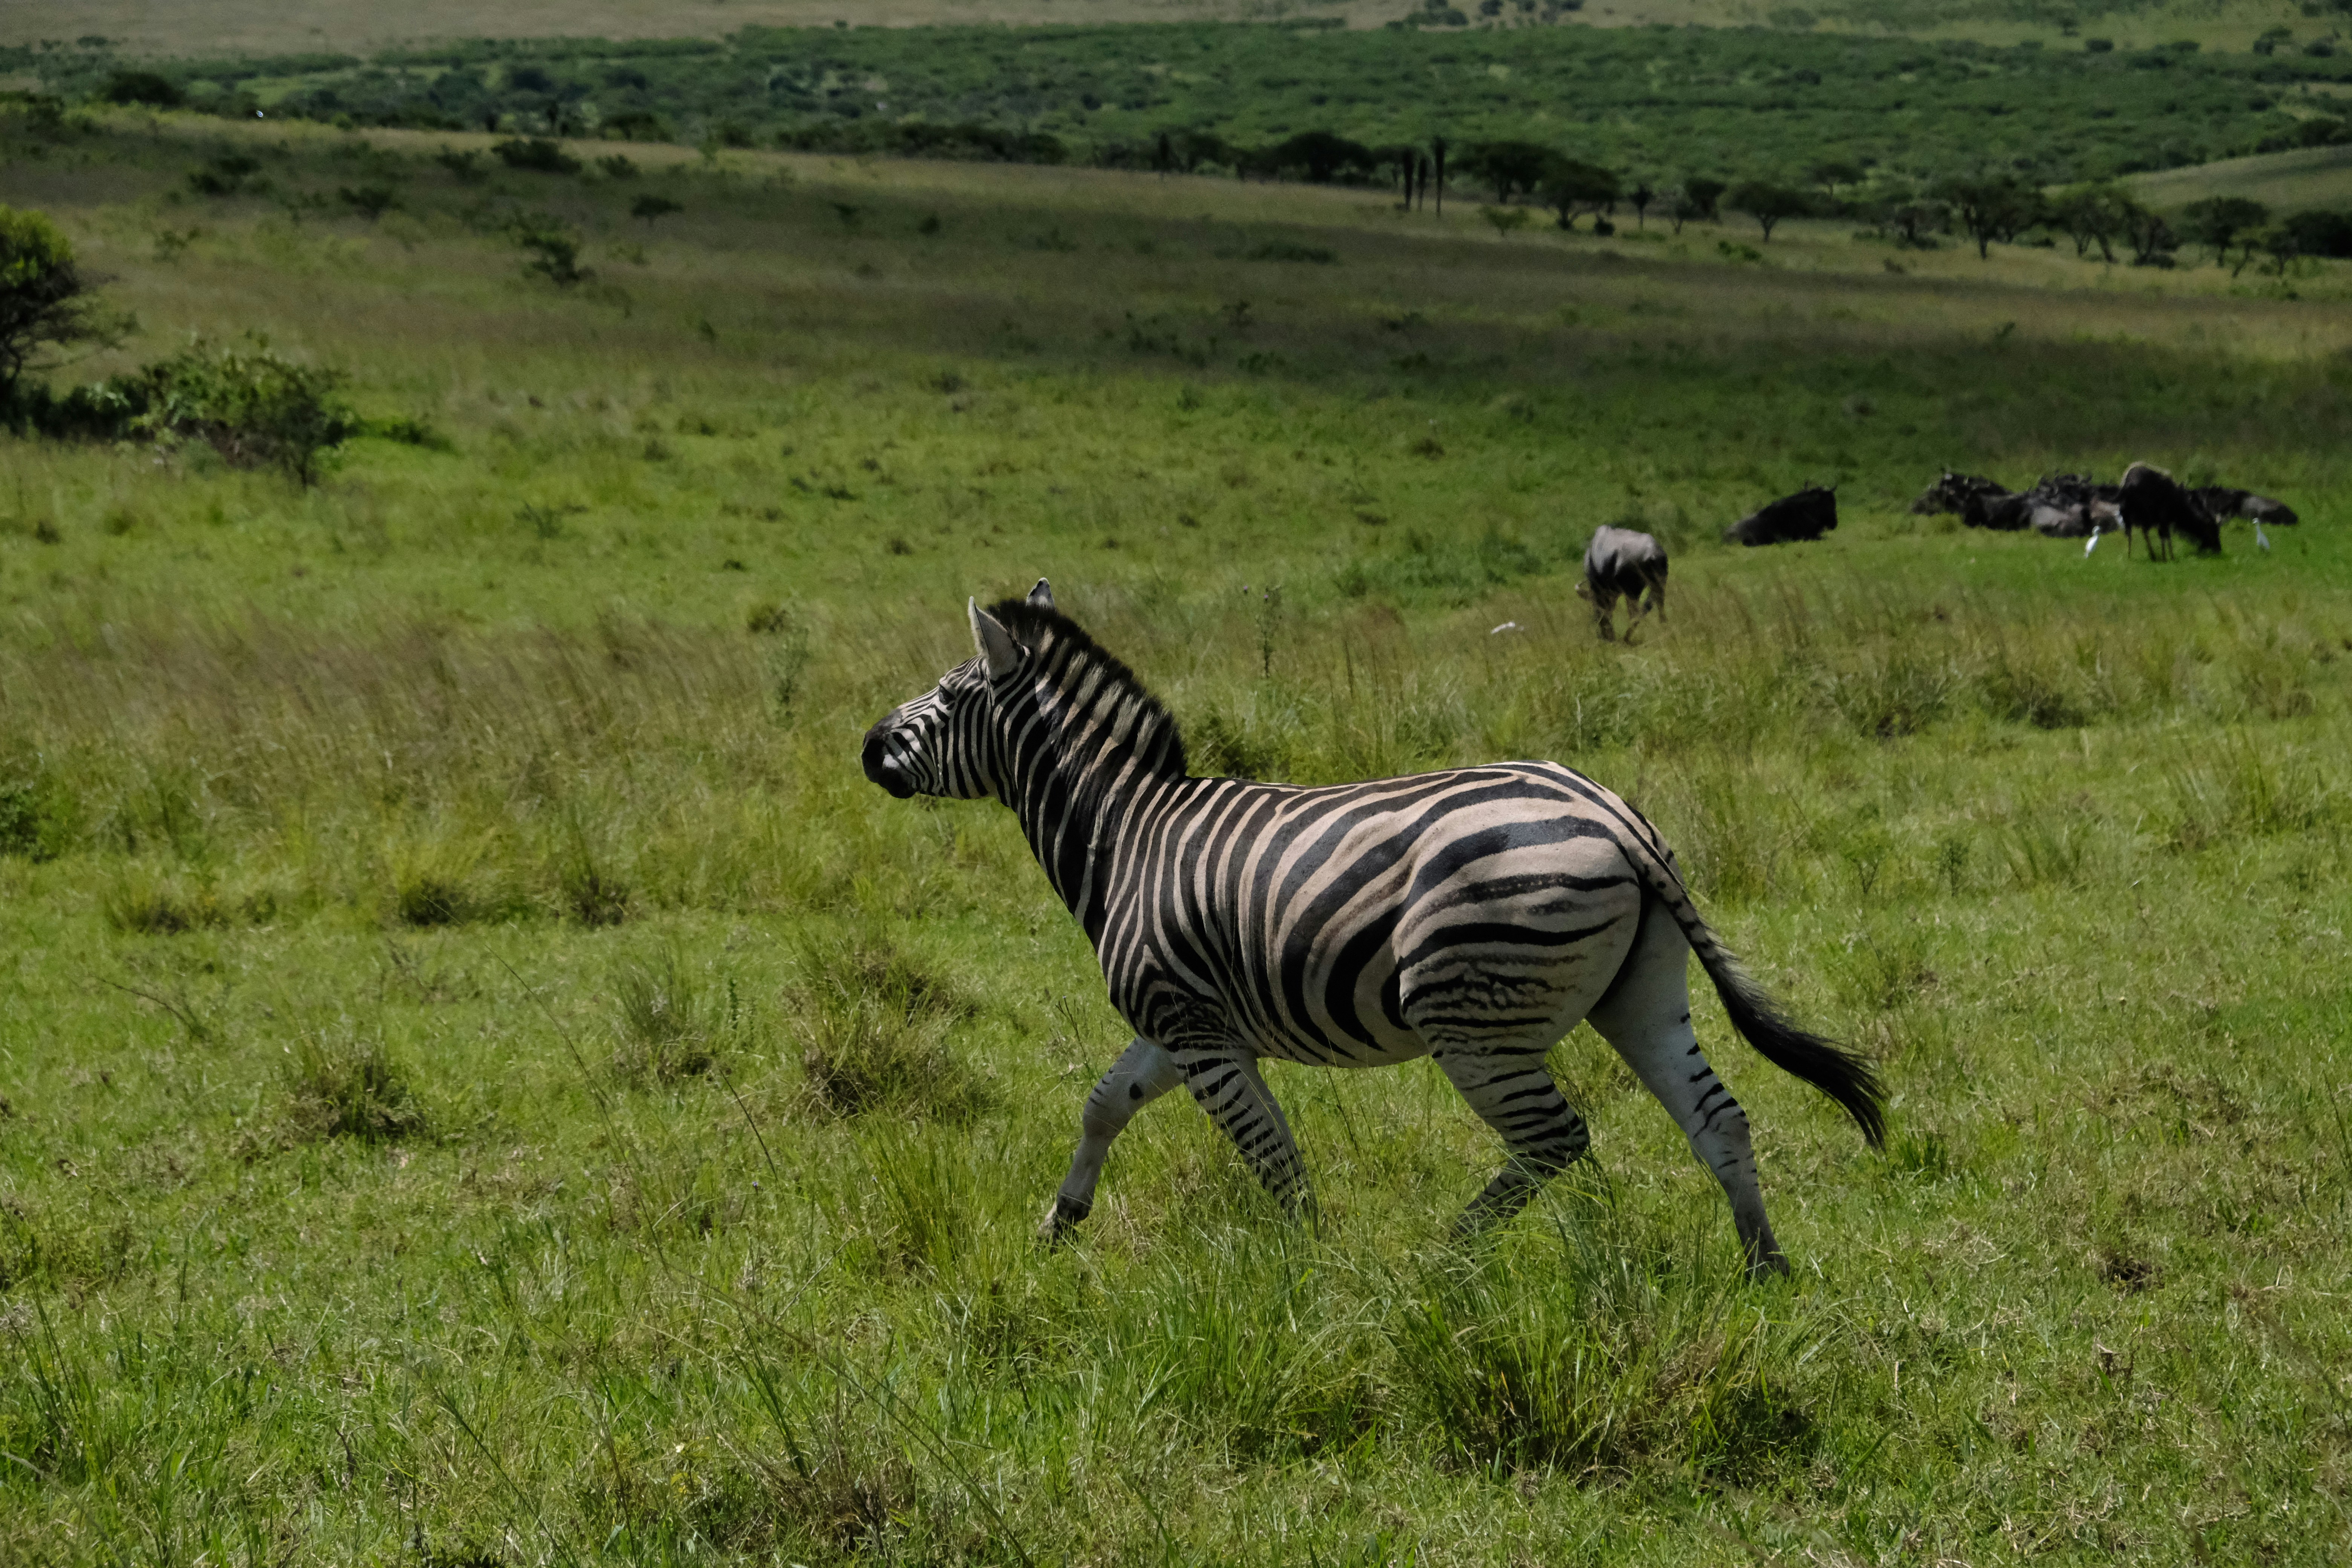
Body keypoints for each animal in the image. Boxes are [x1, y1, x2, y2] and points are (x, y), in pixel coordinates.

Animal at [860, 581, 1885, 1274]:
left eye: (949, 696)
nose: (867, 747)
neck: (1127, 831)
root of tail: (1610, 812)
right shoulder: (1181, 1023)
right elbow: (1104, 1102)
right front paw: (1059, 1223)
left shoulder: (1194, 1026)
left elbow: (1271, 1154)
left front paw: (1309, 1267)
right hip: (1642, 991)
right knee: (1717, 1117)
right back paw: (1763, 1268)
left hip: (1468, 1013)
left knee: (1554, 1139)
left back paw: (1446, 1257)